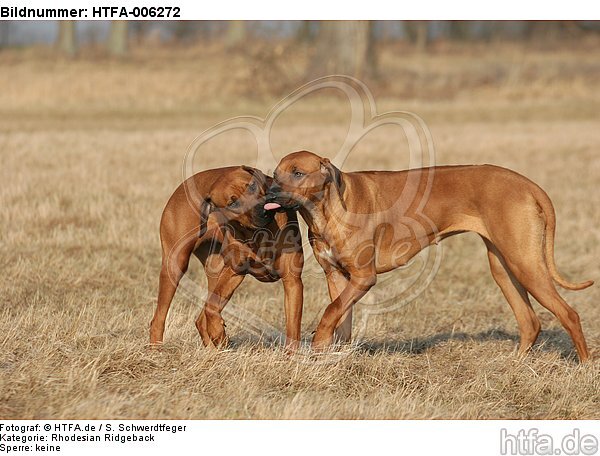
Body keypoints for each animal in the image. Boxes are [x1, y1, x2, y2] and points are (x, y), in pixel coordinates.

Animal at [148, 167, 302, 350]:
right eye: (232, 203)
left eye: (252, 186)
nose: (264, 211)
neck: (259, 233)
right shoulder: (234, 271)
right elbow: (211, 308)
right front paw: (220, 335)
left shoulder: (292, 280)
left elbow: (292, 327)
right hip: (175, 264)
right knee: (159, 319)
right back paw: (156, 351)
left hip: (215, 269)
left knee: (200, 318)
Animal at [266, 151, 592, 362]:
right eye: (274, 174)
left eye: (298, 173)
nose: (269, 191)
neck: (327, 210)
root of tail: (528, 184)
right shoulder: (337, 276)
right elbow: (339, 316)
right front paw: (334, 354)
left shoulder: (363, 277)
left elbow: (330, 311)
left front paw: (319, 344)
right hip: (504, 267)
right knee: (530, 322)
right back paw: (516, 364)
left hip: (525, 264)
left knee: (569, 314)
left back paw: (585, 367)